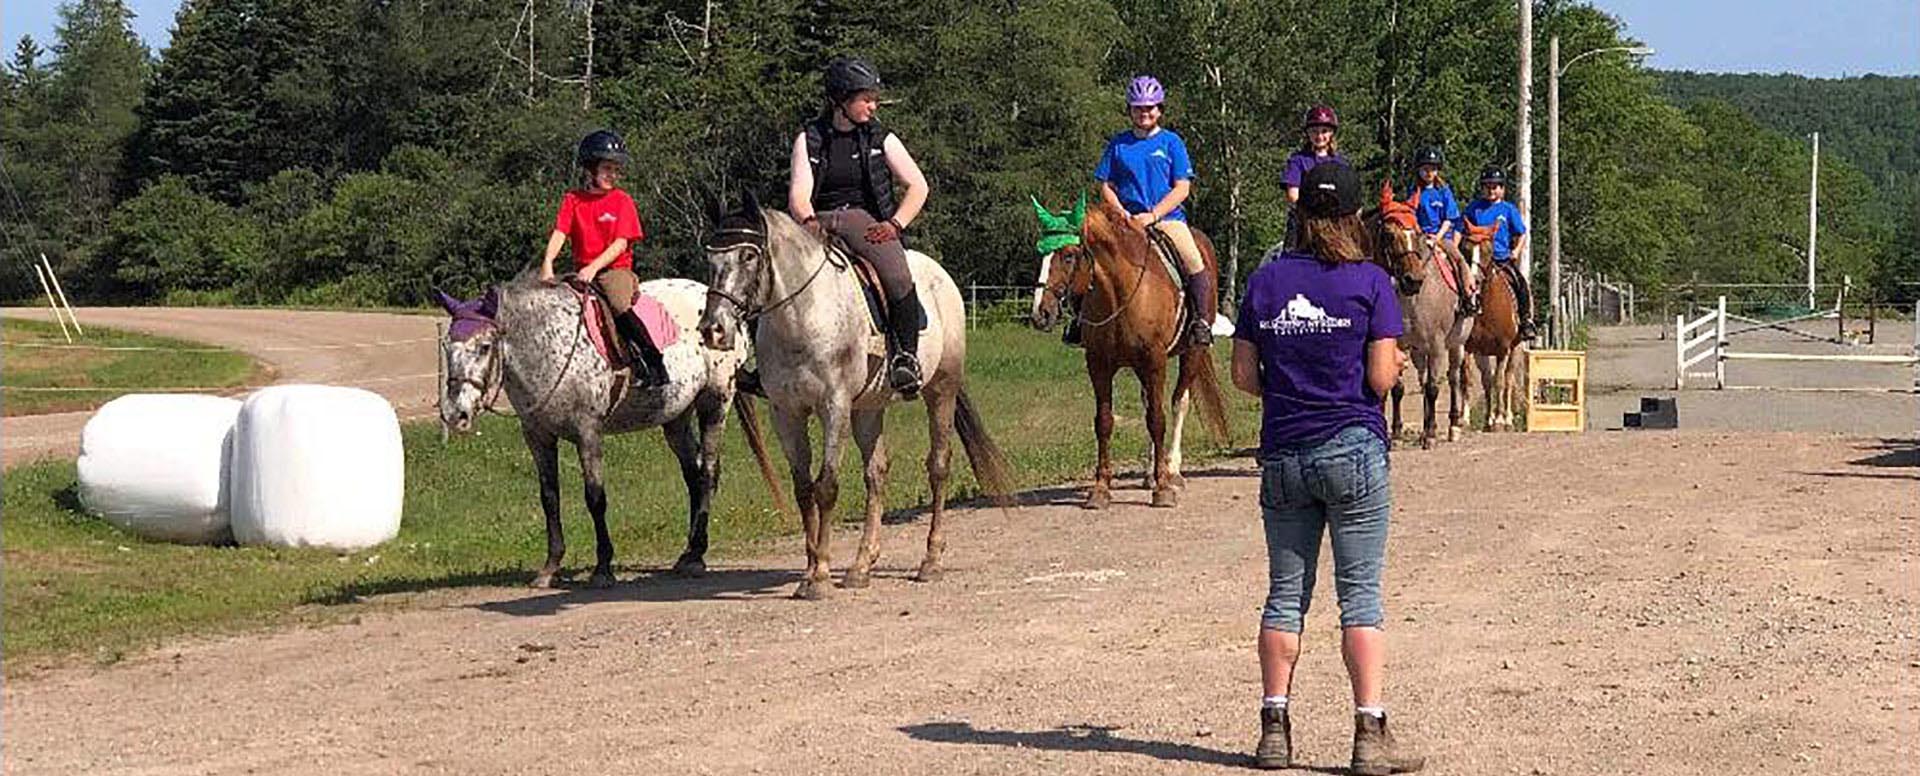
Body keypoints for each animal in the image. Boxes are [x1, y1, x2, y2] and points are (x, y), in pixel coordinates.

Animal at [1036, 194, 1228, 510]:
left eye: (1069, 255)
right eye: (1040, 255)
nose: (1041, 314)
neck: (1119, 291)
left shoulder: (1155, 361)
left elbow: (1158, 419)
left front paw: (1163, 488)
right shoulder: (1098, 363)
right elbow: (1105, 421)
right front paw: (1101, 489)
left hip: (1191, 353)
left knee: (1179, 402)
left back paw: (1172, 469)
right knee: (1149, 403)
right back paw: (1151, 471)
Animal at [1459, 222, 1520, 430]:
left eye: (1488, 250)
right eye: (1465, 249)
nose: (1474, 282)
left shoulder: (1503, 349)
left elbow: (1499, 382)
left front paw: (1501, 418)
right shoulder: (1467, 347)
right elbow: (1468, 379)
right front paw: (1464, 418)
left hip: (1514, 349)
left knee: (1508, 378)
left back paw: (1507, 418)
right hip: (1482, 353)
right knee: (1486, 380)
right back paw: (1488, 418)